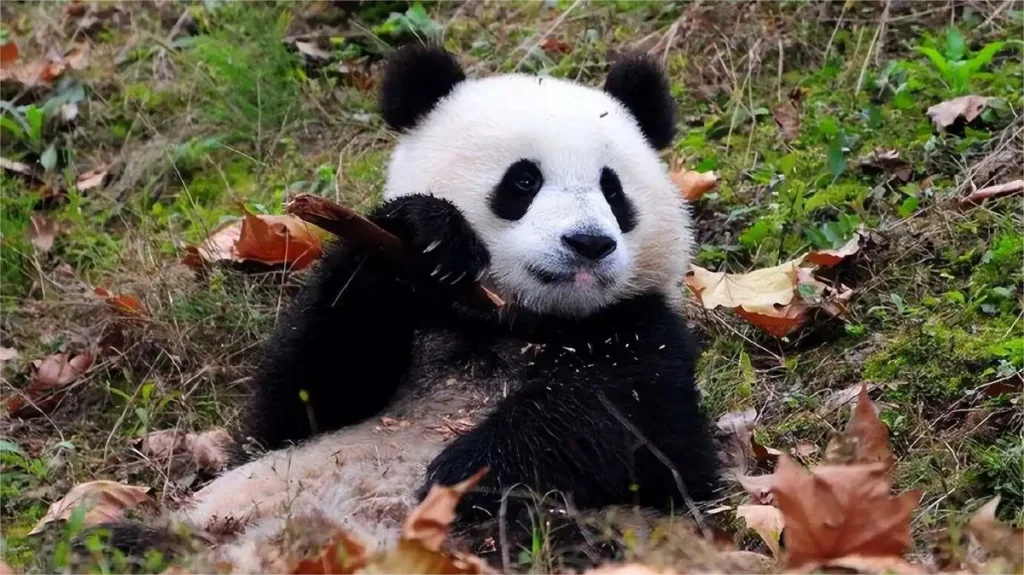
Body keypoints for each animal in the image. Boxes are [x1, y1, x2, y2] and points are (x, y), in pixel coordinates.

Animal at [123, 44, 722, 570]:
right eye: (523, 180)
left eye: (613, 190)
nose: (589, 243)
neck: (511, 320)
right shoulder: (405, 328)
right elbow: (303, 394)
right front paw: (429, 232)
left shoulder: (643, 331)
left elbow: (625, 424)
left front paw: (465, 471)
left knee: (550, 534)